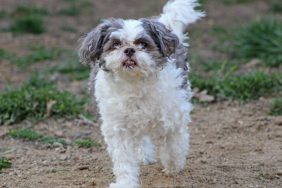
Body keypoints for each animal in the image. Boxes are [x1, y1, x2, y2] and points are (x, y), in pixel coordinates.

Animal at [78, 0, 204, 187]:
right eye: (116, 44)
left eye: (143, 44)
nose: (129, 50)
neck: (135, 84)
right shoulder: (118, 127)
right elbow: (123, 161)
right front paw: (125, 183)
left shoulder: (173, 117)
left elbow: (173, 145)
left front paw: (173, 166)